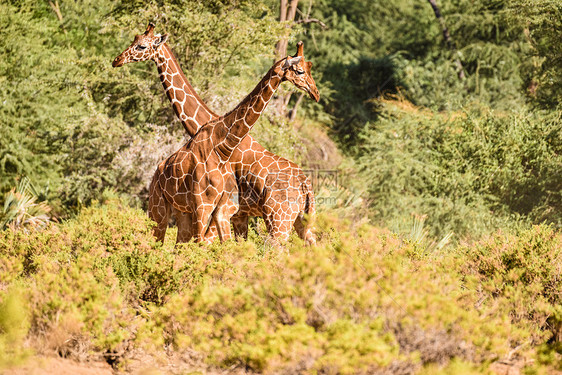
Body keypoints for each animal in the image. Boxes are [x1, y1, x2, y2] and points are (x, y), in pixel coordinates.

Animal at [111, 23, 318, 247]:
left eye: (141, 46)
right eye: (135, 41)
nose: (117, 60)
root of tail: (306, 186)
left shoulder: (225, 210)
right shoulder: (231, 213)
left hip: (279, 220)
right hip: (300, 222)